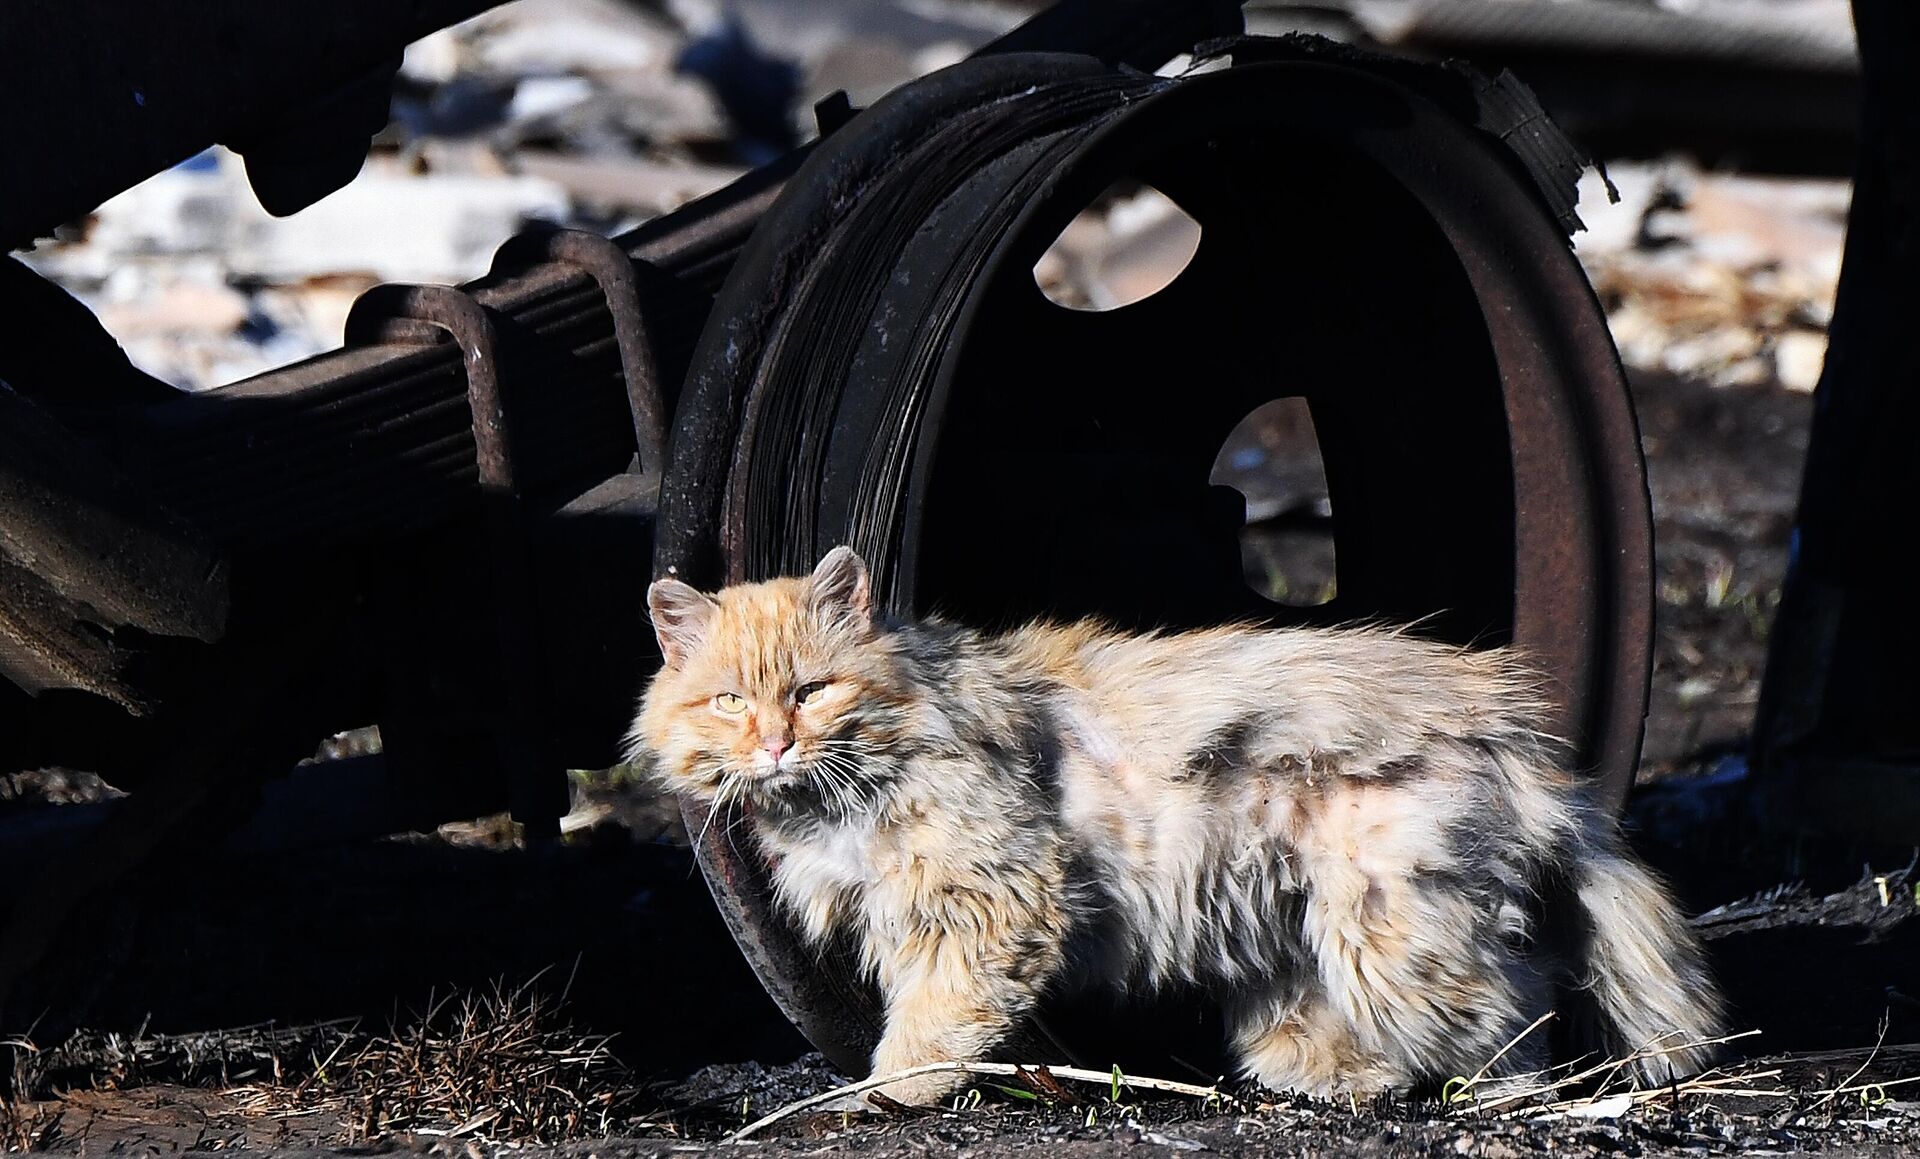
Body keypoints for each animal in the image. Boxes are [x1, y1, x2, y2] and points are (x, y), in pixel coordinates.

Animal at [629, 548, 1728, 1112]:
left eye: (813, 690)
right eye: (730, 701)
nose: (776, 742)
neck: (837, 797)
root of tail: (1503, 724)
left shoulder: (988, 902)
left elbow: (931, 1023)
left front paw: (889, 1094)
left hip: (1388, 926)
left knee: (1519, 1002)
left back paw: (1483, 1098)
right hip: (1295, 928)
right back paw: (1332, 1076)